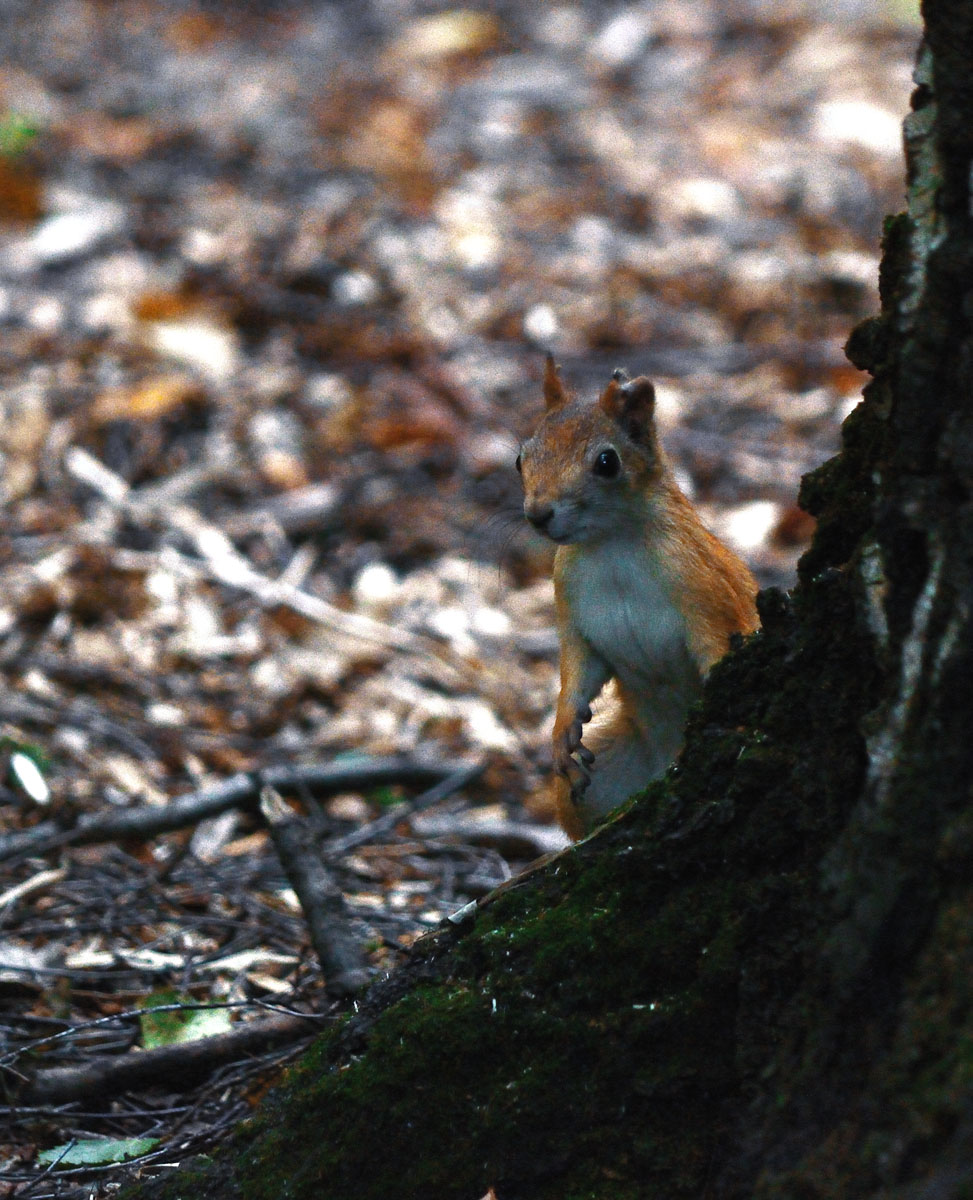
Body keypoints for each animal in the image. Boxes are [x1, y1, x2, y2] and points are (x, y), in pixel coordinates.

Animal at [518, 355, 763, 840]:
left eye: (607, 462)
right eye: (521, 457)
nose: (537, 514)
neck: (613, 543)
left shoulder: (707, 594)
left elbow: (719, 653)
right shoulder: (571, 607)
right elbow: (578, 670)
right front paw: (561, 730)